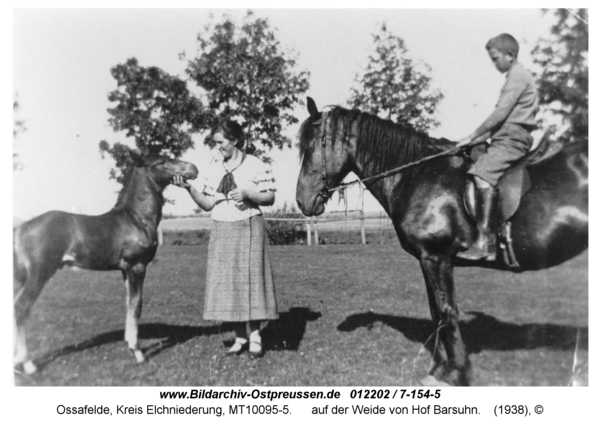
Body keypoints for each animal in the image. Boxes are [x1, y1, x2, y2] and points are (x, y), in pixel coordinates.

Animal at [14, 152, 198, 372]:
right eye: (161, 162)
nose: (193, 168)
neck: (135, 218)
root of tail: (21, 228)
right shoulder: (137, 267)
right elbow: (136, 305)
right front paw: (137, 352)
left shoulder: (125, 270)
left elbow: (129, 303)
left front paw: (130, 345)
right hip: (39, 274)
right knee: (21, 307)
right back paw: (28, 364)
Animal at [298, 98, 588, 384]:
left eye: (310, 148)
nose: (302, 201)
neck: (419, 175)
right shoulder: (427, 260)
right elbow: (435, 313)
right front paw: (438, 369)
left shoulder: (436, 258)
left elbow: (446, 311)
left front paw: (458, 372)